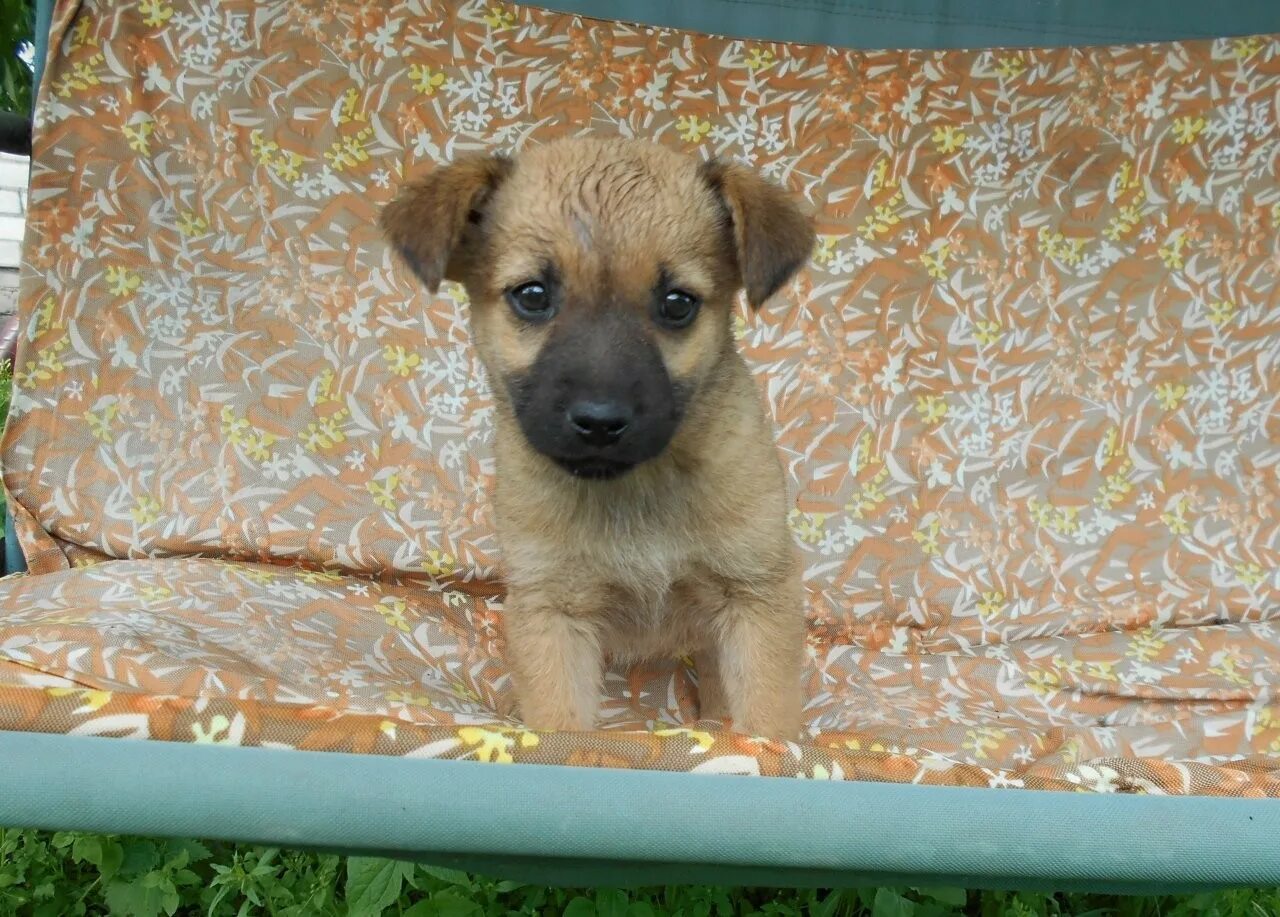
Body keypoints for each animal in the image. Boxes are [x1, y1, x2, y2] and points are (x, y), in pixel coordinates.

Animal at [384, 137, 814, 737]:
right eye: (532, 295)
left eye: (677, 303)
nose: (600, 421)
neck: (635, 492)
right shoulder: (551, 610)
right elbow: (558, 728)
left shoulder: (757, 593)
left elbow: (767, 721)